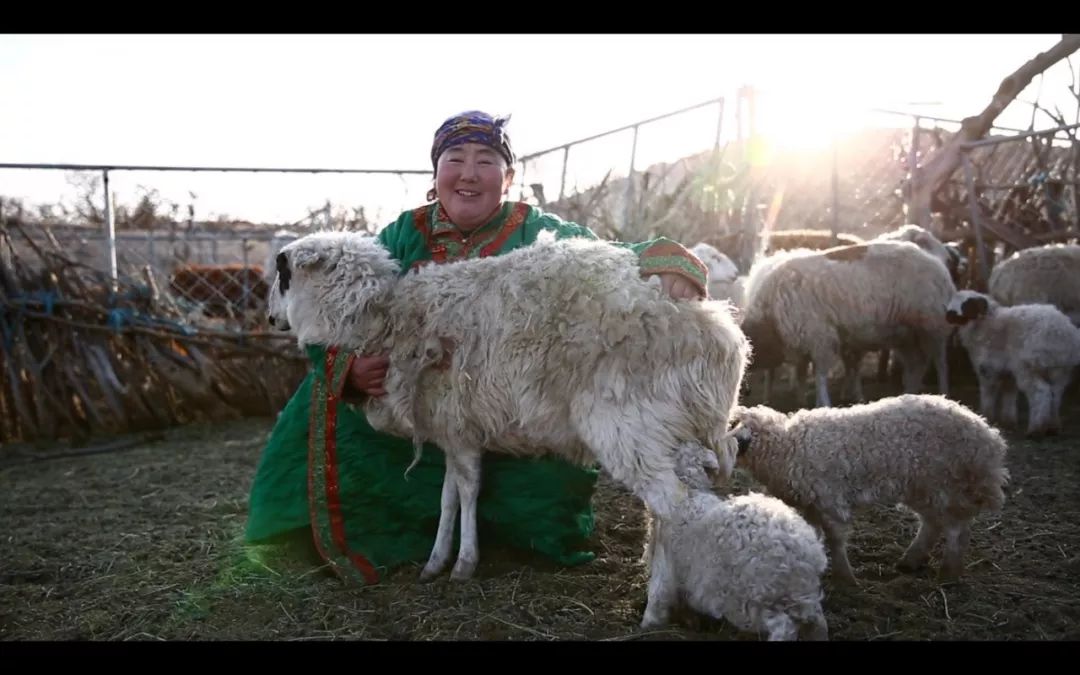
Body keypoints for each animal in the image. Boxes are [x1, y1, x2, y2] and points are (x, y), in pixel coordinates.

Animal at [639, 440, 825, 639]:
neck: (689, 492)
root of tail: (808, 557)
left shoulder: (666, 560)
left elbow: (658, 592)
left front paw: (648, 625)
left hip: (752, 597)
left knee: (783, 625)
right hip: (794, 597)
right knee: (816, 617)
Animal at [725, 395, 1010, 583]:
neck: (787, 446)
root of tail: (989, 440)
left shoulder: (830, 500)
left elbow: (835, 538)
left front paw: (846, 578)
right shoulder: (810, 505)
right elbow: (812, 535)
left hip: (943, 484)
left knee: (954, 528)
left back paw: (948, 572)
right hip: (922, 487)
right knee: (934, 524)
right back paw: (911, 561)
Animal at [946, 289, 1080, 436]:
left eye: (967, 305)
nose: (948, 316)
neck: (985, 325)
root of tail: (1059, 333)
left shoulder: (987, 369)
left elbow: (988, 393)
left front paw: (986, 417)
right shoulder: (1008, 373)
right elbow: (1009, 394)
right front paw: (1009, 422)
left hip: (1027, 367)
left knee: (1040, 392)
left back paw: (1035, 429)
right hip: (1060, 371)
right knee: (1056, 394)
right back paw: (1053, 427)